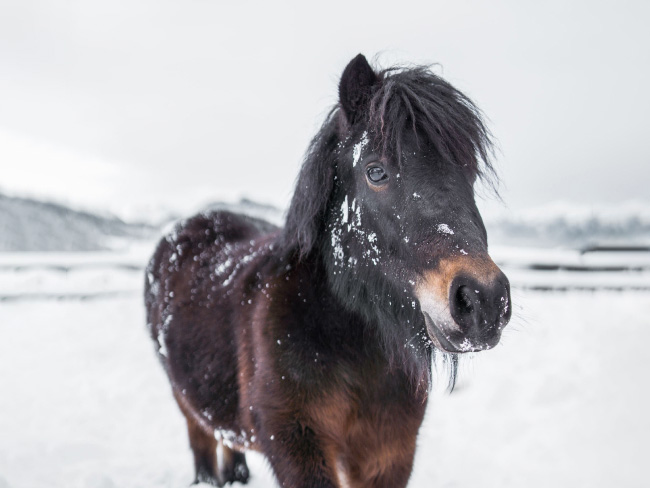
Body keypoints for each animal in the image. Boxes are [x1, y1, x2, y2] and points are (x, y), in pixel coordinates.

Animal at [146, 54, 512, 488]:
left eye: (469, 173)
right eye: (376, 171)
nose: (484, 301)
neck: (354, 349)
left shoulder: (390, 451)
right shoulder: (296, 443)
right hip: (185, 403)